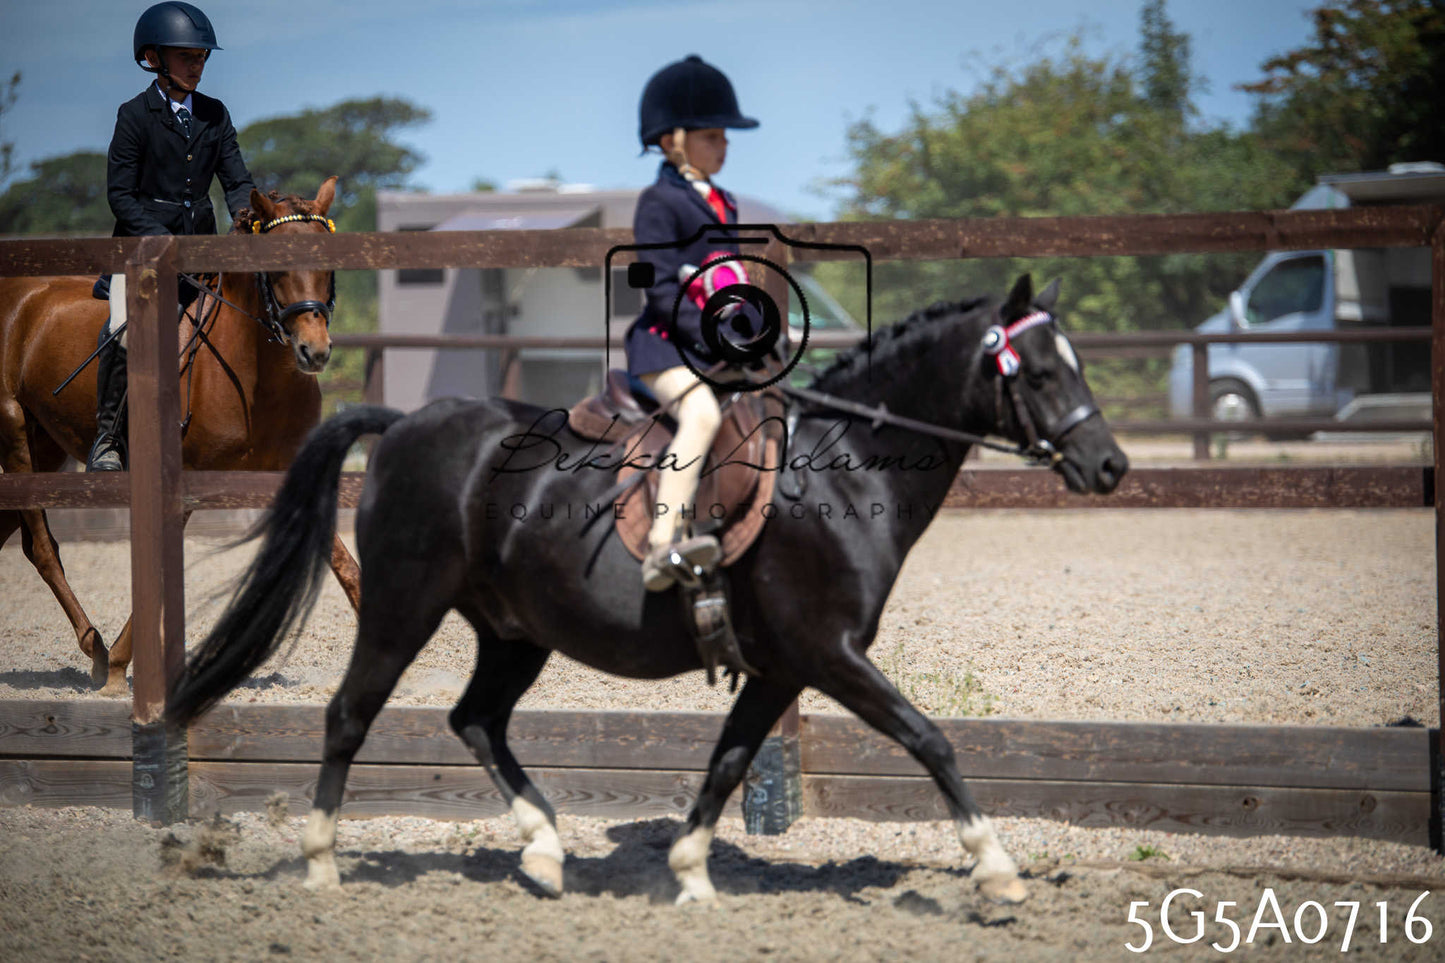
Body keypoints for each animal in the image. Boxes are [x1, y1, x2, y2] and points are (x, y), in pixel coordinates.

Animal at [0, 176, 361, 696]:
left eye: (329, 268)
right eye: (274, 270)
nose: (314, 352)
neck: (255, 374)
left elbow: (348, 567)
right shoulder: (187, 480)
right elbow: (160, 575)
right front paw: (118, 668)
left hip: (43, 448)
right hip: (13, 432)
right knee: (43, 548)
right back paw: (96, 649)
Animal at [167, 274, 1128, 905]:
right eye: (1041, 372)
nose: (1110, 466)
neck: (845, 469)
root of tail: (404, 423)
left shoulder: (781, 667)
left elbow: (731, 760)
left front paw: (691, 872)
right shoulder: (829, 653)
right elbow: (929, 738)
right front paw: (996, 867)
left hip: (513, 632)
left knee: (476, 719)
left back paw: (544, 850)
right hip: (404, 608)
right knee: (349, 715)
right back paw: (323, 863)